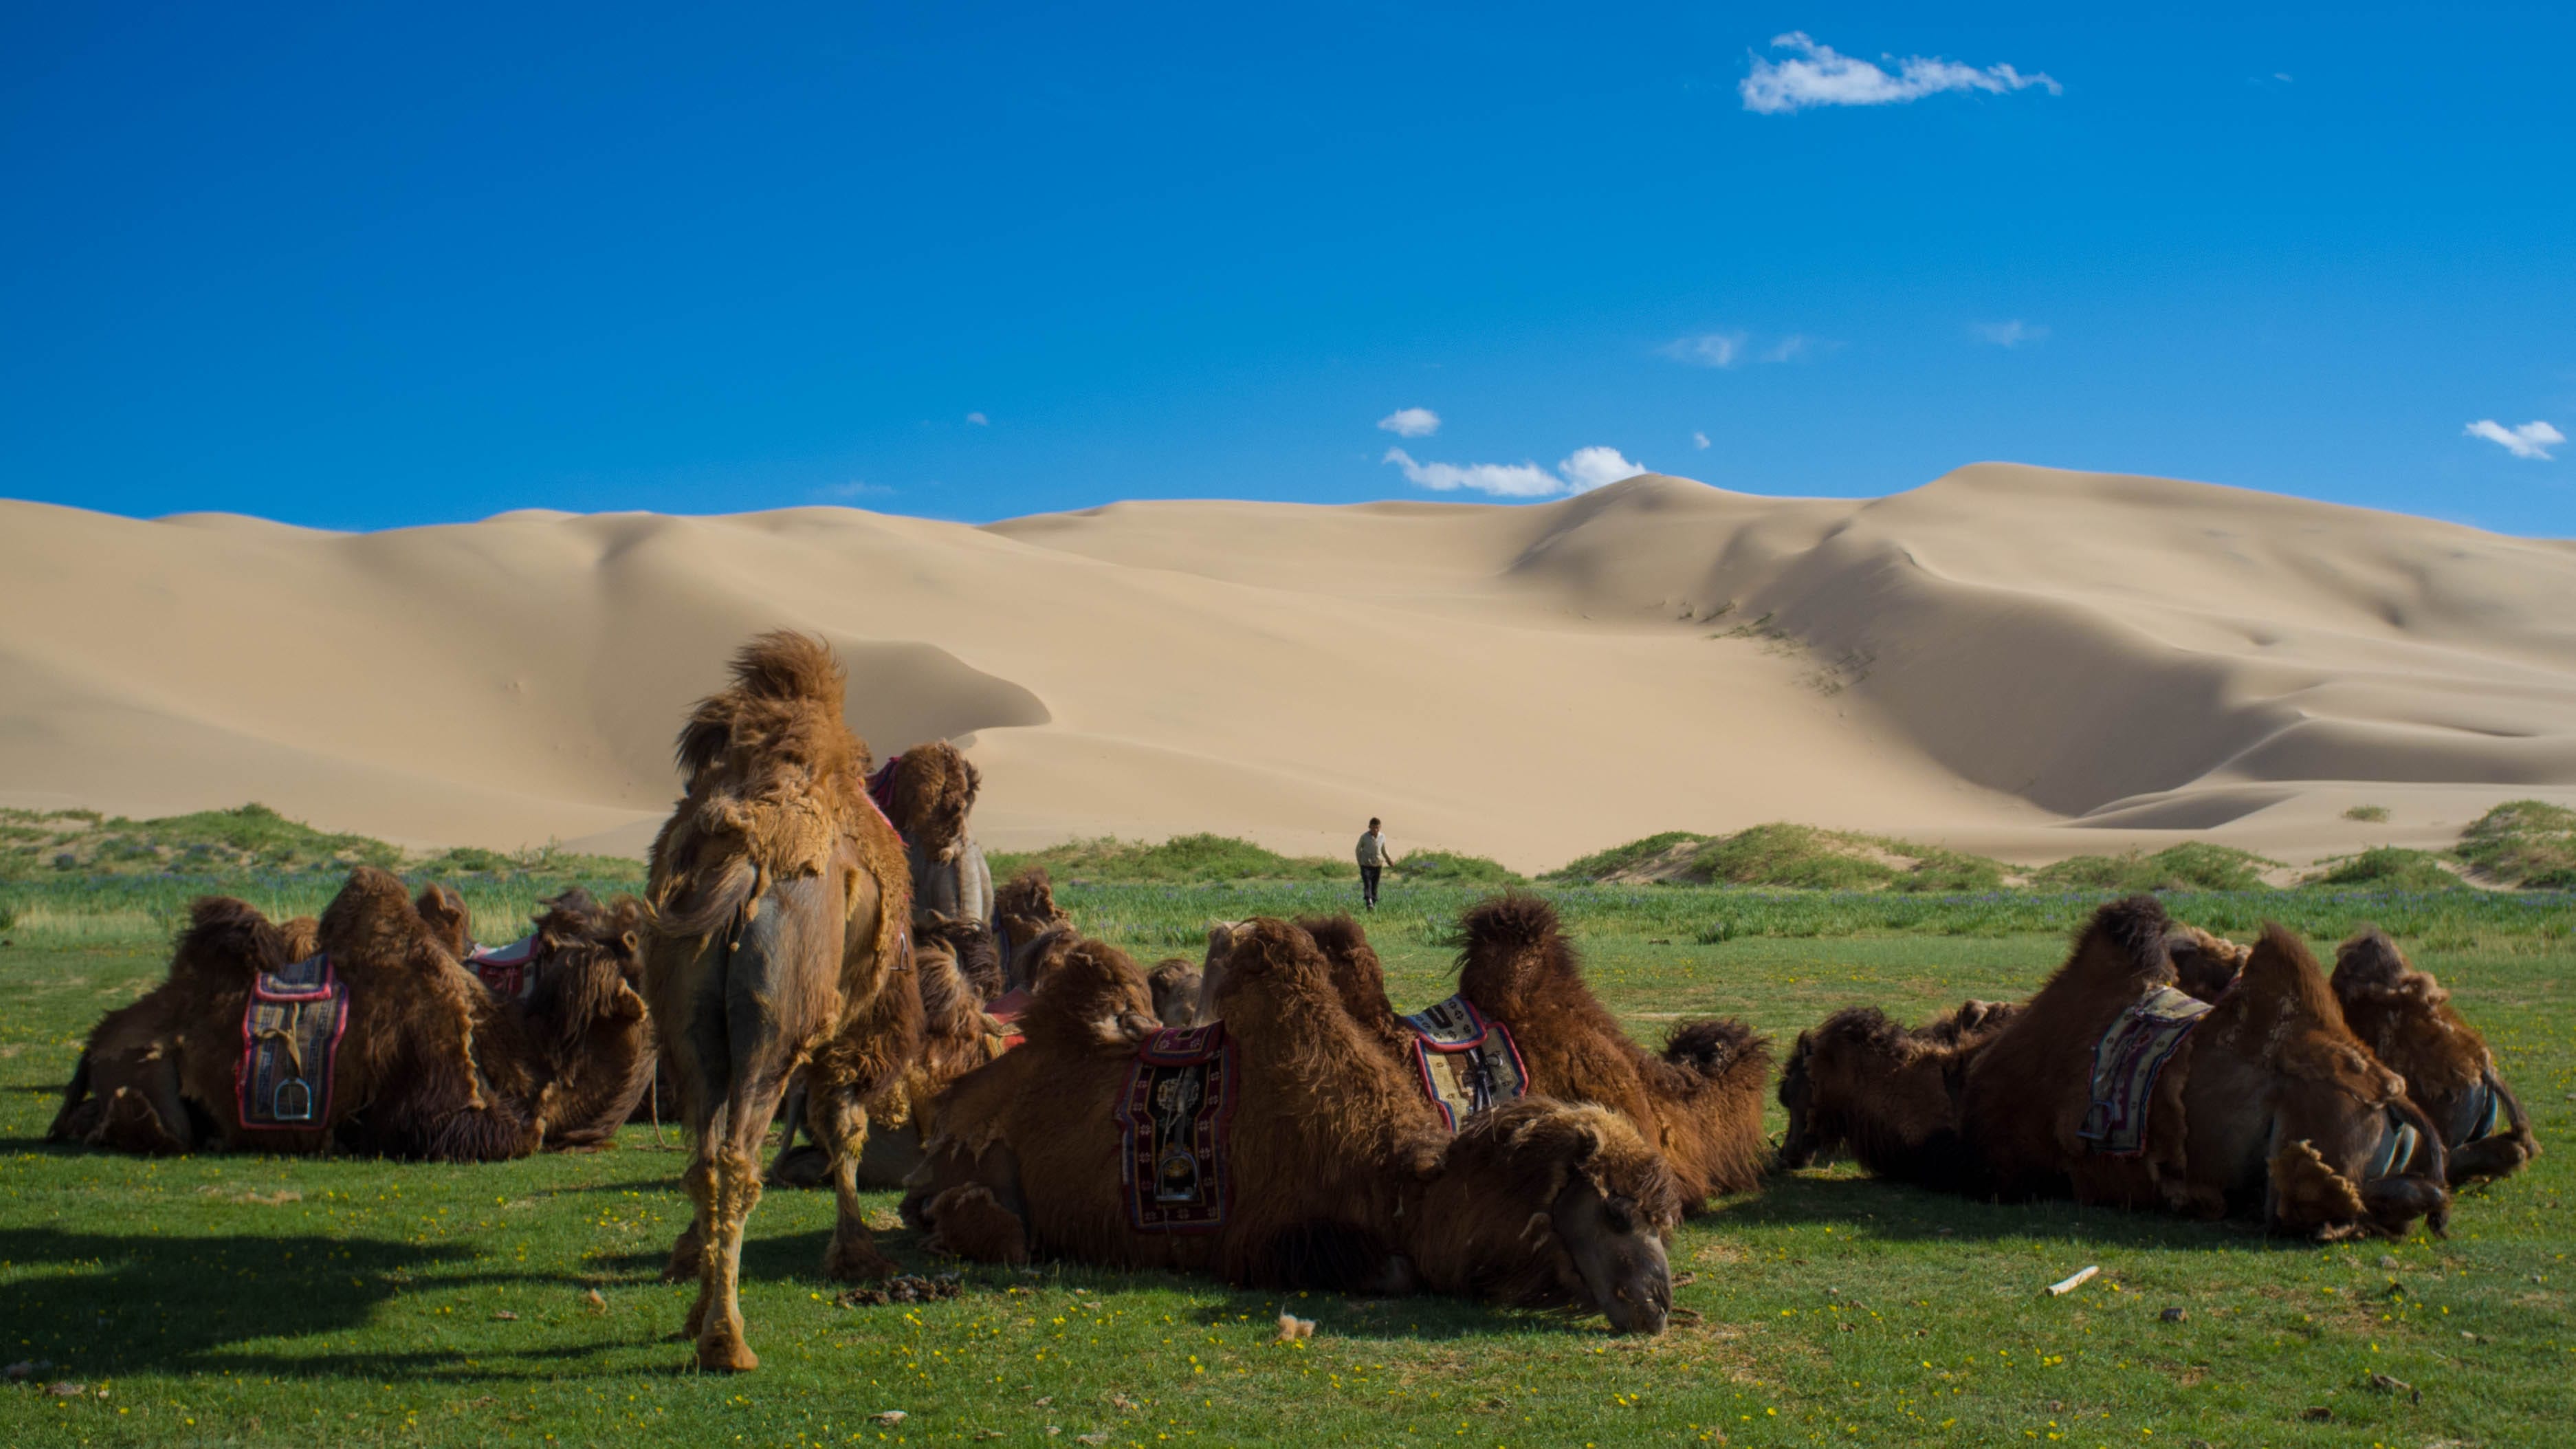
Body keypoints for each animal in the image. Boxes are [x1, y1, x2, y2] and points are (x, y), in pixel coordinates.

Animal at [51, 861, 654, 1155]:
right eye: (607, 933)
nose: (636, 932)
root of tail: (96, 1040)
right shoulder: (432, 1096)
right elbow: (516, 1136)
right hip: (143, 1073)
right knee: (153, 1122)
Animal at [641, 629, 916, 1361]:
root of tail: (742, 863)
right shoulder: (849, 1031)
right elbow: (843, 1127)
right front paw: (855, 1251)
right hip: (777, 1020)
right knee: (741, 1156)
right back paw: (727, 1341)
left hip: (686, 1022)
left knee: (704, 1160)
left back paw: (699, 1315)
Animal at [901, 917, 1669, 1330]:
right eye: (1617, 1211)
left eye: (1663, 1219)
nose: (1658, 1301)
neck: (1404, 1188)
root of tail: (946, 1115)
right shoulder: (1266, 1238)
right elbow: (1394, 1271)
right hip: (985, 1178)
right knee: (999, 1231)